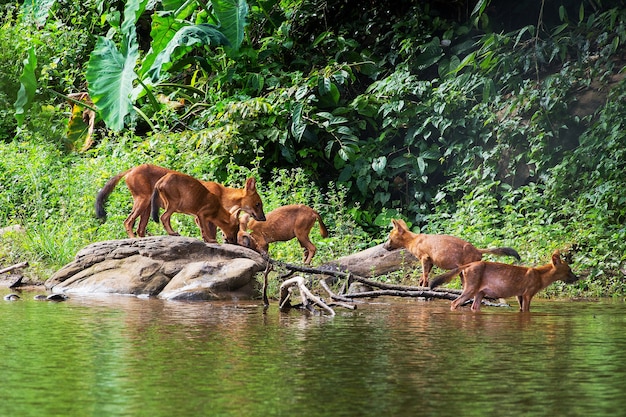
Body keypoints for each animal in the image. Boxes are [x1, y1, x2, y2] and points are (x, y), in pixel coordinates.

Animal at [94, 164, 264, 239]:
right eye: (258, 204)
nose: (263, 218)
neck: (223, 194)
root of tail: (130, 169)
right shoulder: (202, 215)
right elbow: (210, 232)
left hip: (147, 207)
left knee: (140, 228)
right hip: (144, 201)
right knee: (128, 222)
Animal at [382, 218, 520, 286]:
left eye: (389, 237)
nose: (384, 246)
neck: (413, 241)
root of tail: (477, 250)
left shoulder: (424, 257)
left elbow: (426, 276)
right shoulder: (431, 260)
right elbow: (424, 275)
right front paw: (420, 283)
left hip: (466, 268)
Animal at [426, 249, 576, 310]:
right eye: (569, 269)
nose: (577, 278)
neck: (540, 276)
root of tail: (468, 265)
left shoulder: (519, 295)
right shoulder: (528, 294)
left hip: (480, 293)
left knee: (474, 307)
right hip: (470, 289)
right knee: (454, 303)